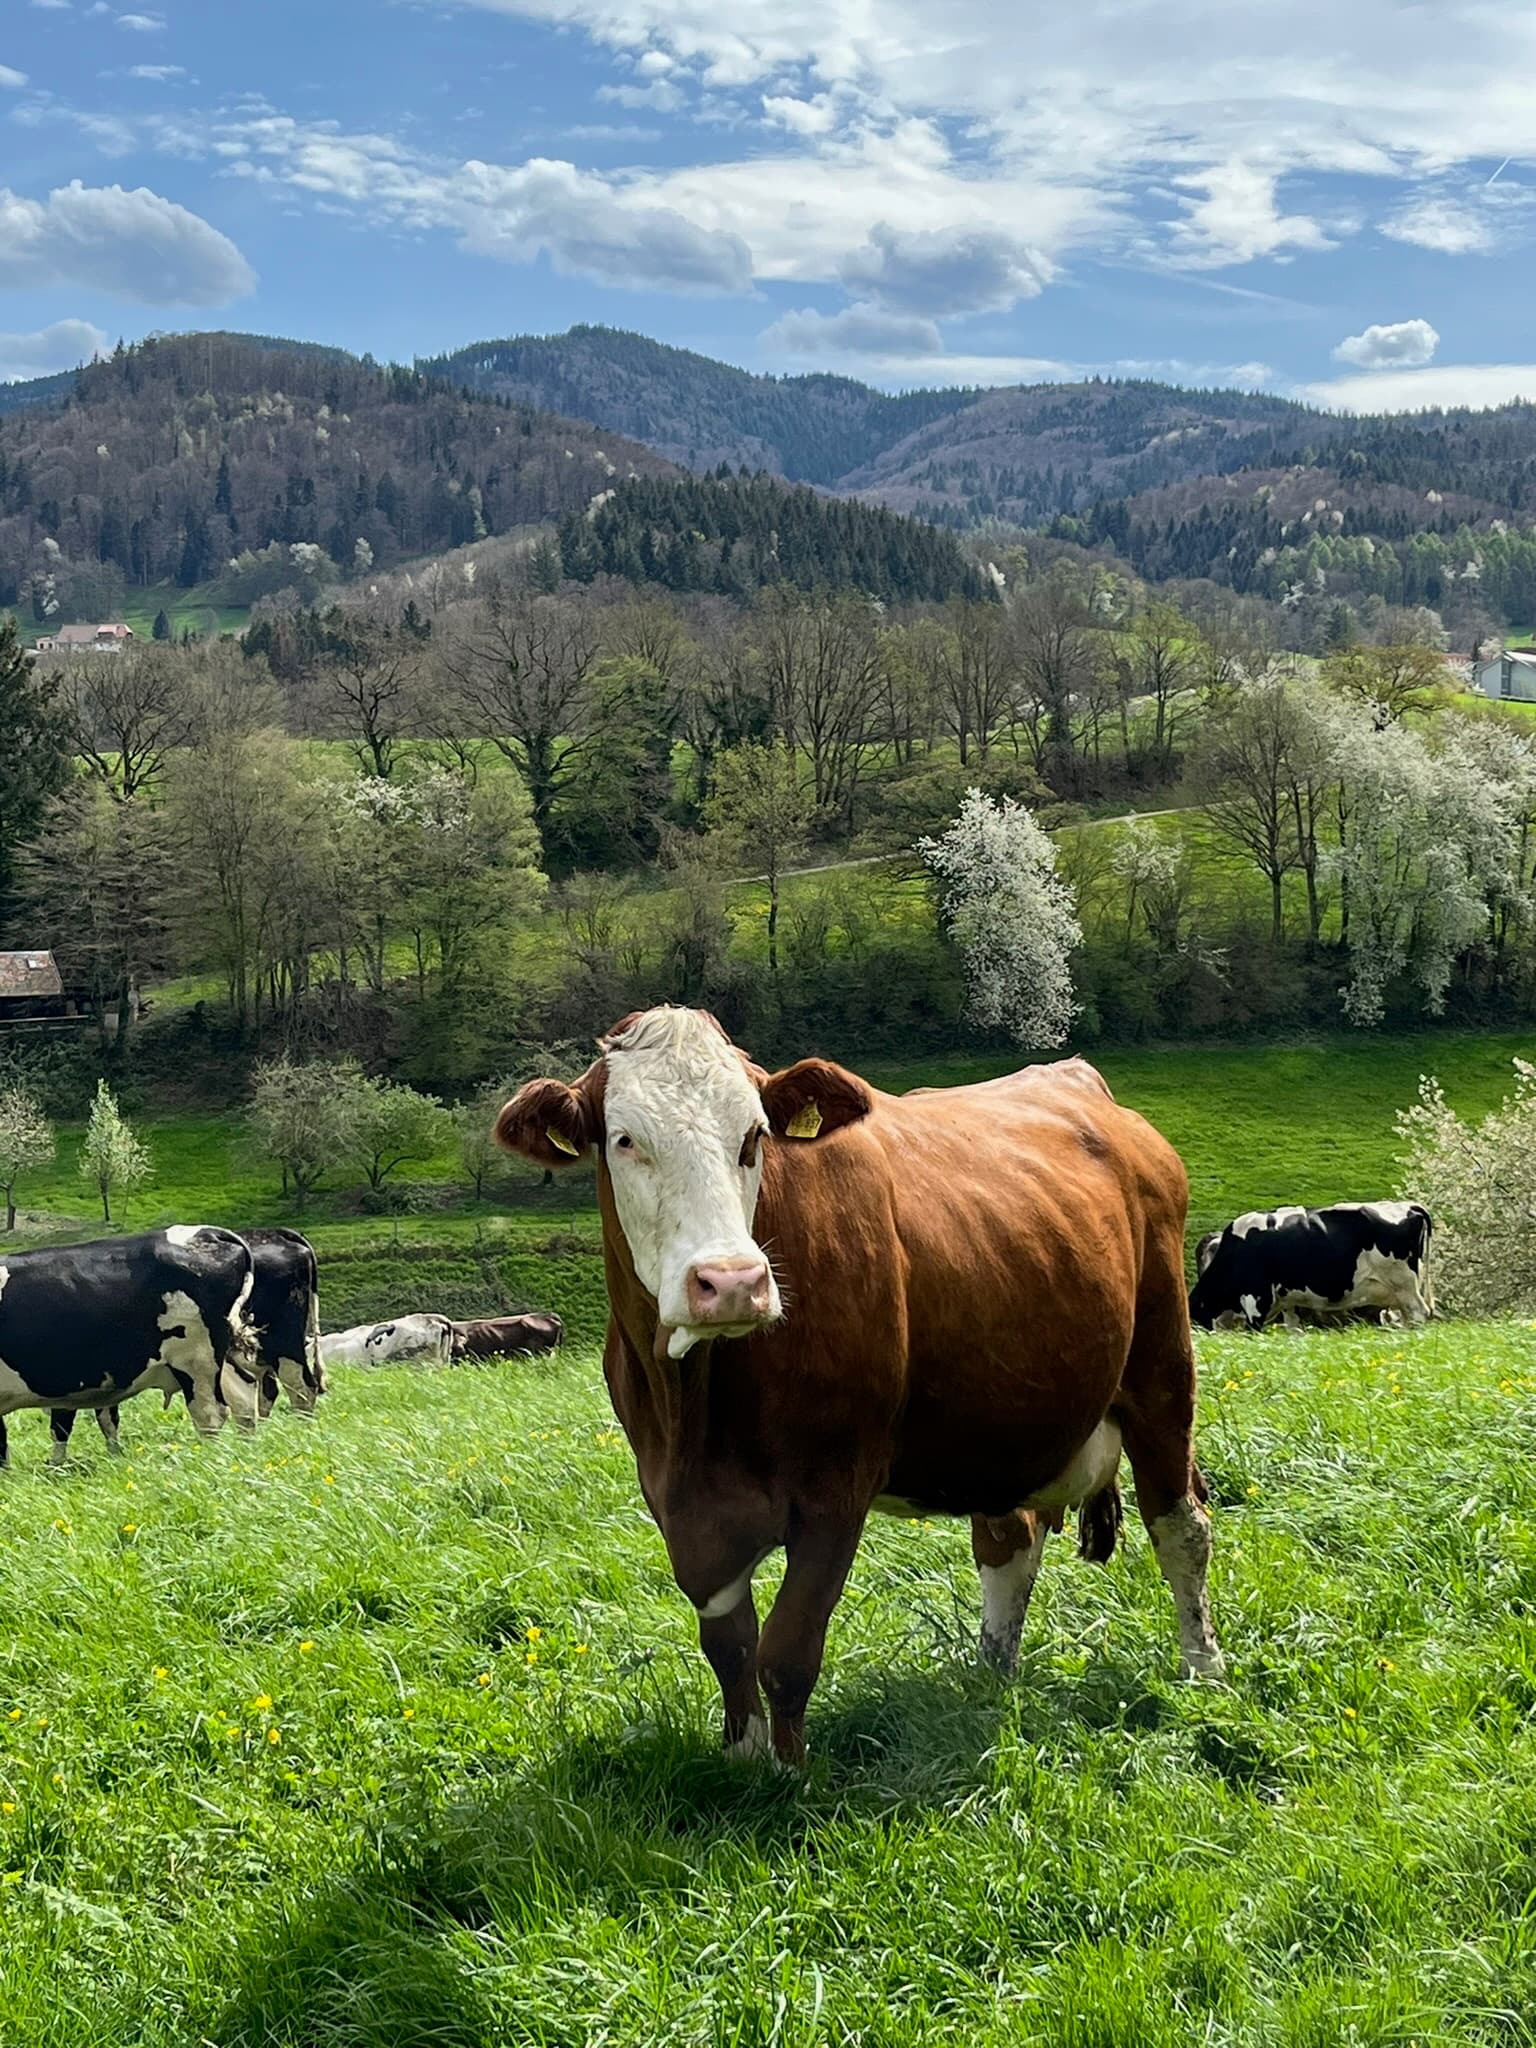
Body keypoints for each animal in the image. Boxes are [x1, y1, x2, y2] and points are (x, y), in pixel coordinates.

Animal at [0, 1226, 257, 1470]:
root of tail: (207, 1232)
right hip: (219, 1356)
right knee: (243, 1394)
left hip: (195, 1360)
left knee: (211, 1414)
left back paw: (209, 1458)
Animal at [495, 1006, 1222, 1766]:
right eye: (626, 1140)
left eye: (753, 1136)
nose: (732, 1282)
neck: (697, 1406)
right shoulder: (677, 1502)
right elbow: (729, 1645)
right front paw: (743, 1755)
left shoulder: (835, 1490)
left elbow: (788, 1650)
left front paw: (790, 1776)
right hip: (1004, 1423)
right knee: (1008, 1540)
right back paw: (991, 1677)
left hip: (1162, 1370)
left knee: (1181, 1527)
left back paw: (1202, 1671)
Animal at [1188, 1202, 1434, 1332]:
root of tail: (1407, 1205)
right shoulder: (1288, 1302)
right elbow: (1294, 1330)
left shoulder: (1255, 1299)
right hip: (1400, 1295)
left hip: (1404, 1285)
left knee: (1418, 1313)